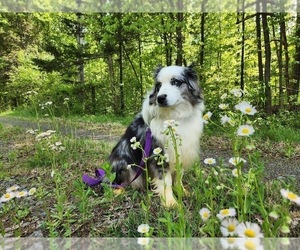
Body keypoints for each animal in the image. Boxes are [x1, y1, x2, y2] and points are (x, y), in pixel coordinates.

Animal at [109, 64, 205, 207]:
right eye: (159, 85)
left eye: (175, 82)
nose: (160, 98)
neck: (174, 116)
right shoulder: (159, 154)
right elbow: (165, 180)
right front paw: (170, 202)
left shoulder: (181, 151)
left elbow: (179, 177)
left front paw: (182, 191)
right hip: (123, 162)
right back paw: (118, 190)